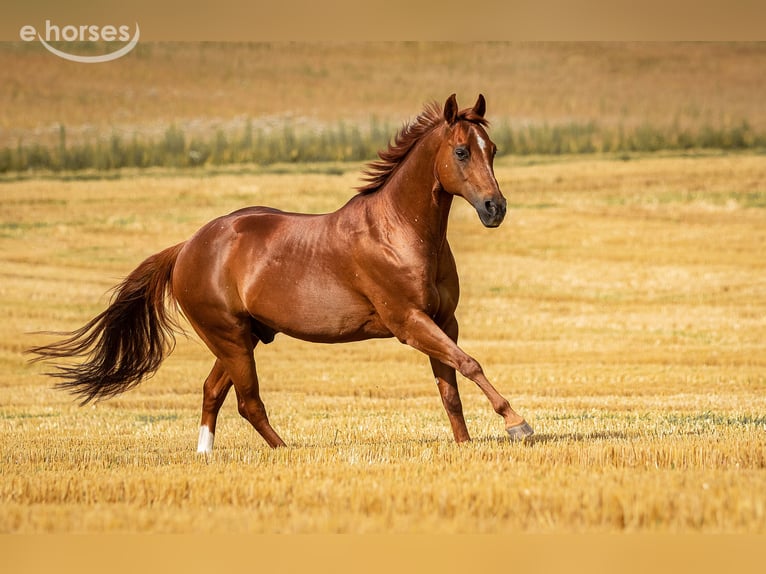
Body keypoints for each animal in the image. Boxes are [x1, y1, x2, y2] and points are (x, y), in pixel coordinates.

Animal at [28, 93, 534, 453]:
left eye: (493, 149)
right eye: (462, 151)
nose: (496, 208)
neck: (400, 232)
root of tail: (187, 247)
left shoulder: (443, 320)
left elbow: (451, 385)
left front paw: (465, 446)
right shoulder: (410, 323)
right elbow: (469, 363)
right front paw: (518, 424)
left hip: (241, 338)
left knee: (213, 392)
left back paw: (206, 456)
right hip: (231, 338)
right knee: (247, 401)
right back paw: (286, 451)